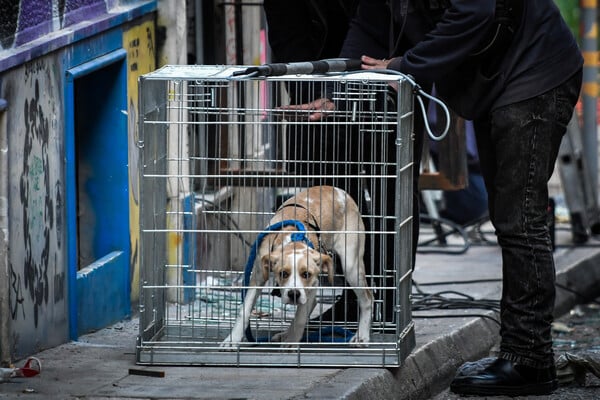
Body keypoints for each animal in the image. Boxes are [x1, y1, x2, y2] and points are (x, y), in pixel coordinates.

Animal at [220, 185, 370, 346]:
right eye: (283, 273)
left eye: (306, 274)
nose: (294, 294)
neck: (291, 238)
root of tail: (340, 191)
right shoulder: (258, 277)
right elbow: (244, 310)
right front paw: (231, 340)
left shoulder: (313, 283)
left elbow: (300, 317)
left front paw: (291, 342)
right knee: (314, 302)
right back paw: (284, 334)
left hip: (351, 265)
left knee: (368, 298)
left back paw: (362, 336)